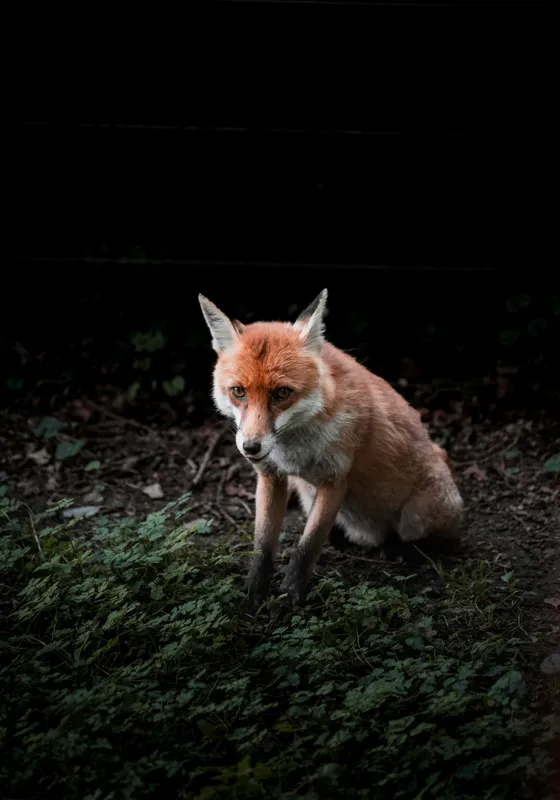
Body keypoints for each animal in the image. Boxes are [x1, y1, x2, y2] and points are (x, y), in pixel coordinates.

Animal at [198, 289, 464, 607]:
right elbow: (262, 545)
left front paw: (289, 597)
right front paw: (254, 595)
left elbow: (308, 546)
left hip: (417, 516)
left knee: (432, 539)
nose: (251, 447)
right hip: (307, 494)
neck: (294, 450)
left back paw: (400, 549)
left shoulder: (335, 479)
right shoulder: (271, 476)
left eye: (282, 393)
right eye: (238, 392)